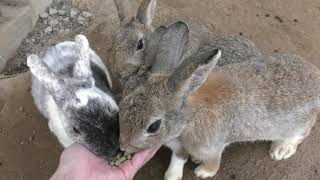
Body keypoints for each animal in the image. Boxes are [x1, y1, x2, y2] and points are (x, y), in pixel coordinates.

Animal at [118, 23, 320, 179]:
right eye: (122, 105)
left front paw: (202, 172)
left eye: (153, 126)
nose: (123, 146)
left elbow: (213, 163)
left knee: (300, 134)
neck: (191, 115)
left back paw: (281, 150)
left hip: (297, 125)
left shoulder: (210, 148)